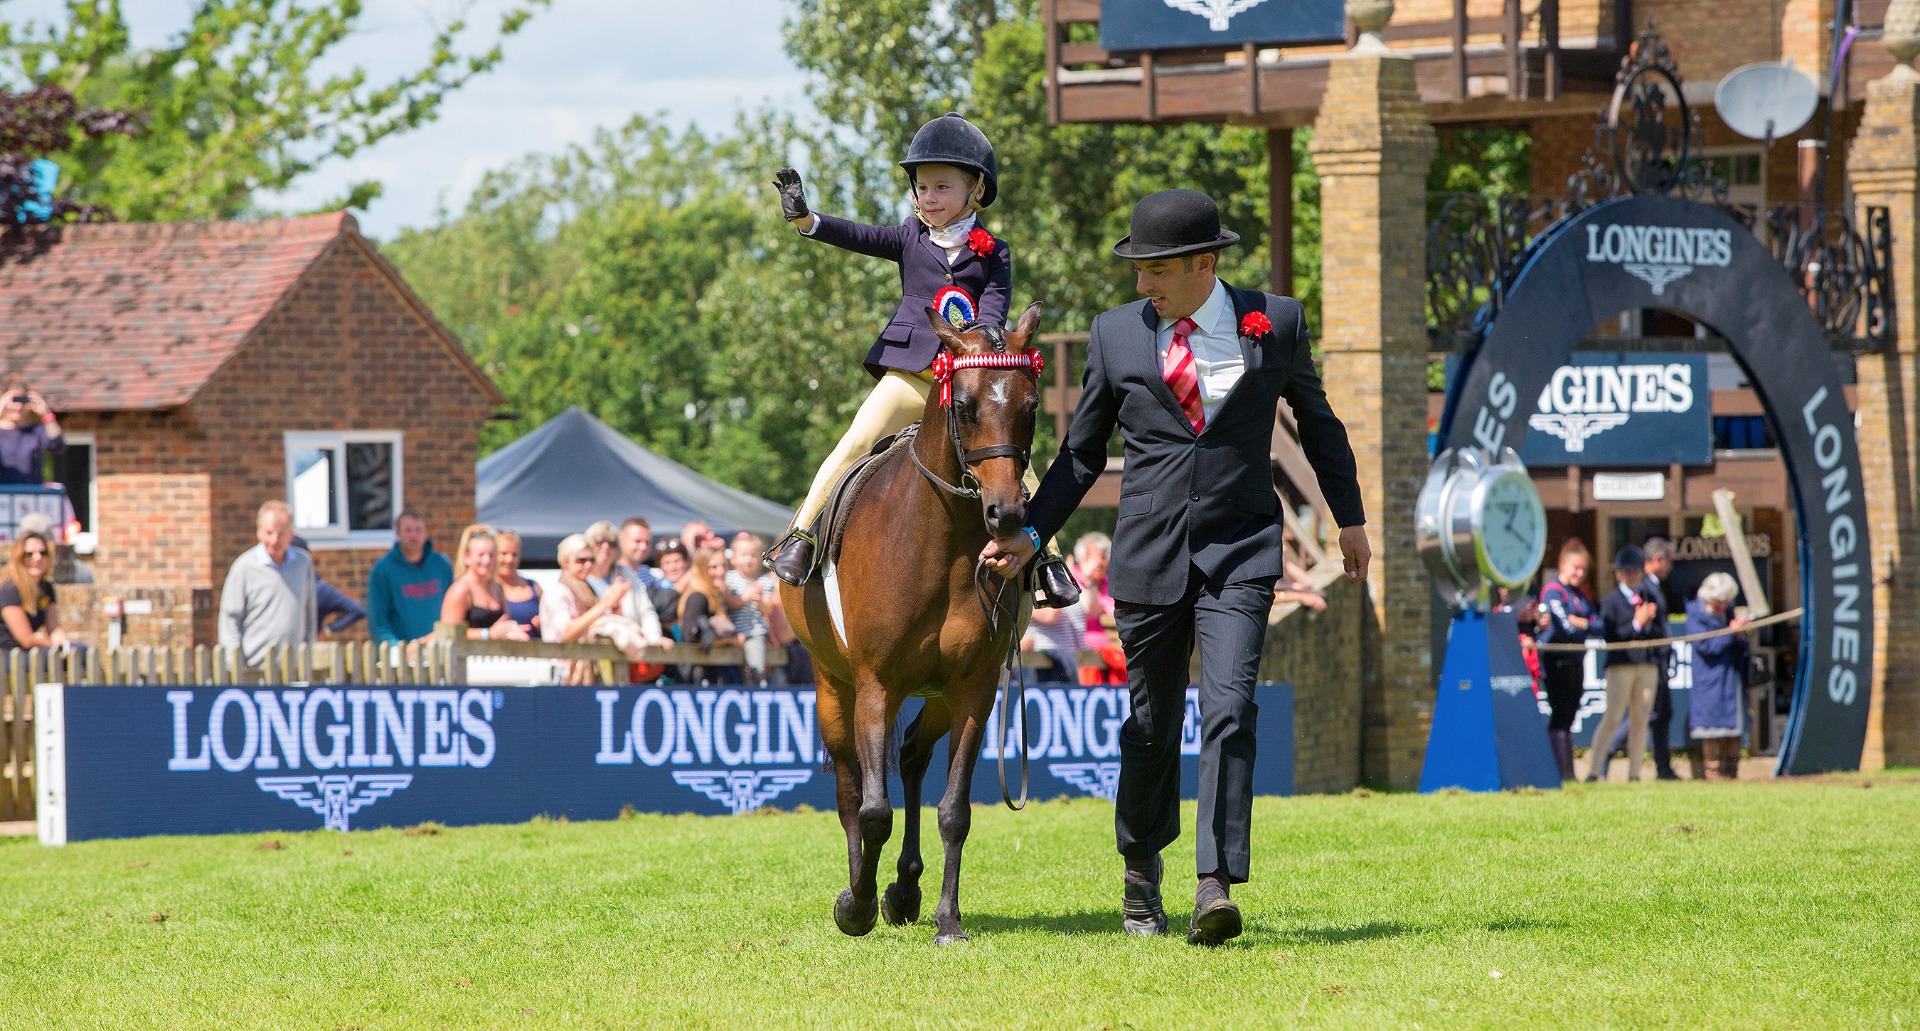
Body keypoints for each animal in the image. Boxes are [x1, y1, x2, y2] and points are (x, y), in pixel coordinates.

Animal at [781, 301, 1045, 945]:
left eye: (1030, 407)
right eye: (966, 406)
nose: (1007, 515)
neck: (940, 541)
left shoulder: (975, 688)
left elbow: (955, 811)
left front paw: (947, 920)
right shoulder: (877, 683)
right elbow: (873, 809)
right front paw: (855, 904)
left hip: (939, 695)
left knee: (911, 757)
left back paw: (904, 889)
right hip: (833, 687)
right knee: (851, 784)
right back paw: (866, 886)